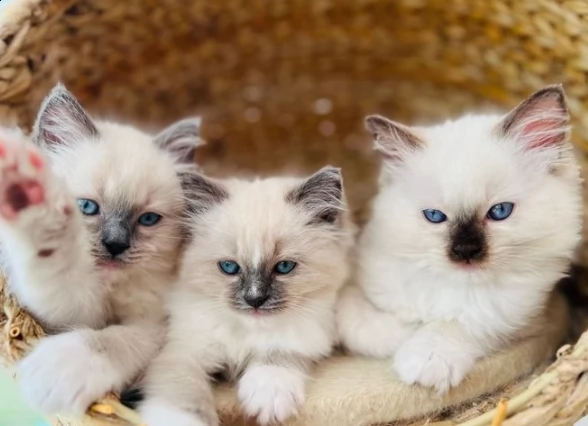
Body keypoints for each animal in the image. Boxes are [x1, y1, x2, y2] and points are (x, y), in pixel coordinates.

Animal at [0, 84, 203, 416]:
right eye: (86, 207)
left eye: (148, 219)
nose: (115, 245)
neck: (109, 289)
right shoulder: (71, 309)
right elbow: (60, 270)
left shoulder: (153, 323)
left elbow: (111, 340)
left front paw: (55, 373)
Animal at [138, 167, 356, 426]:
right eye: (229, 267)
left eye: (284, 267)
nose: (255, 299)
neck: (245, 335)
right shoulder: (184, 352)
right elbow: (184, 396)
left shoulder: (301, 338)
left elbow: (276, 355)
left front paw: (267, 398)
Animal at [338, 85, 580, 394]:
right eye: (434, 216)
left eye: (500, 211)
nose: (466, 251)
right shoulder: (352, 285)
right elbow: (359, 324)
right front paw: (405, 332)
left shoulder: (516, 317)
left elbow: (453, 326)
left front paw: (426, 356)